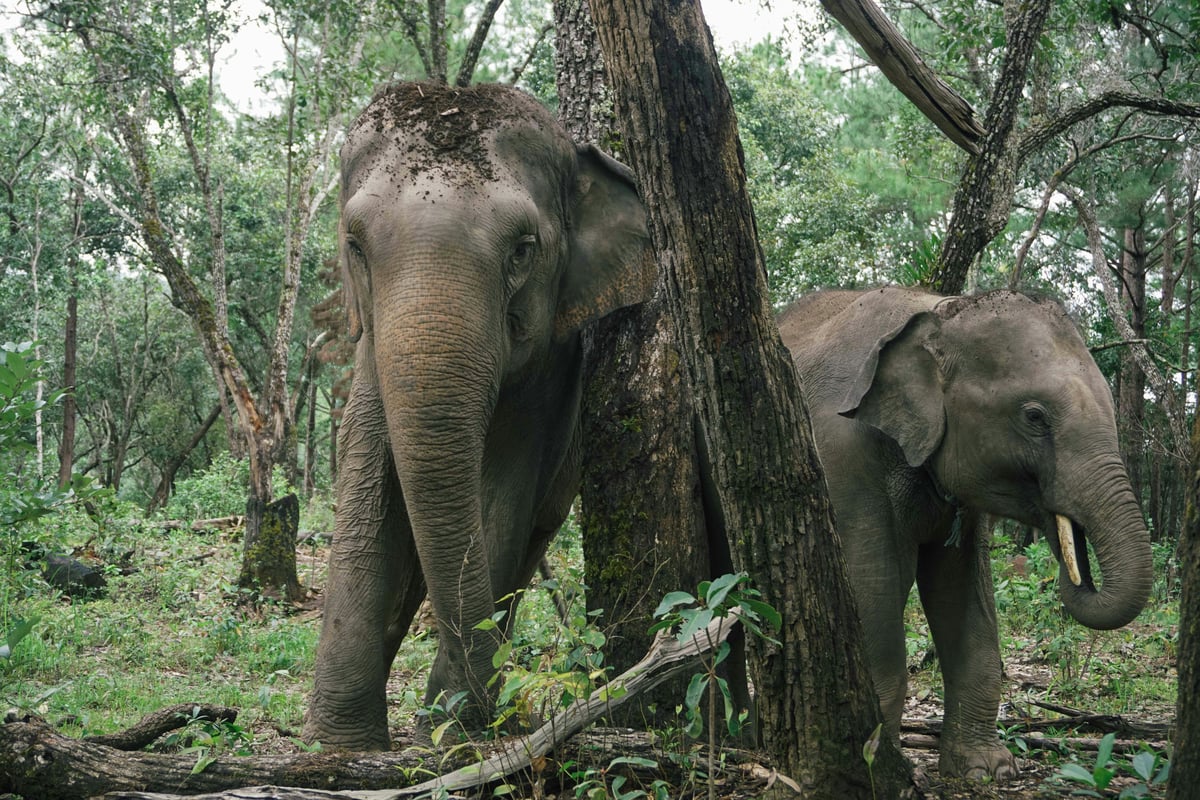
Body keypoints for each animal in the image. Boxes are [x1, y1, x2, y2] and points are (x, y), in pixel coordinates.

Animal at [302, 82, 654, 750]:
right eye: (355, 246)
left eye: (522, 250)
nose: (499, 710)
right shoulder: (370, 351)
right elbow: (368, 490)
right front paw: (340, 746)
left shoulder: (551, 373)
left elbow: (501, 497)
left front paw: (452, 739)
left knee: (525, 547)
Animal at [776, 287, 1153, 781]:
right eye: (1035, 416)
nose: (1077, 569)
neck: (934, 311)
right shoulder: (842, 459)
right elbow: (872, 589)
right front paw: (881, 768)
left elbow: (963, 592)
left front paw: (987, 771)